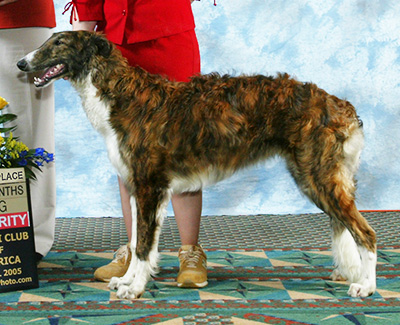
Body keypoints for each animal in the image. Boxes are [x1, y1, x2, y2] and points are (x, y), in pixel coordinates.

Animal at [17, 31, 376, 298]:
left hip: (319, 178)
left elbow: (144, 246)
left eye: (59, 42)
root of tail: (341, 106)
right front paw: (127, 280)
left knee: (366, 234)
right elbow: (137, 243)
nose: (21, 62)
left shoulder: (149, 185)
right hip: (318, 177)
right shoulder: (138, 187)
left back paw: (367, 287)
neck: (122, 94)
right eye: (50, 40)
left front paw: (134, 288)